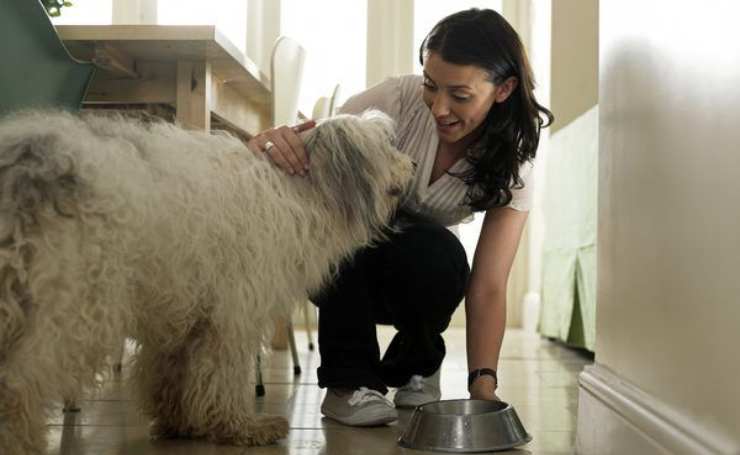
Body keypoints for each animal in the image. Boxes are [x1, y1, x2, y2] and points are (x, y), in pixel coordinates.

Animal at [0, 108, 414, 454]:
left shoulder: (183, 308)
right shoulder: (234, 309)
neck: (298, 190)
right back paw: (19, 440)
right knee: (18, 381)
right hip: (74, 301)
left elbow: (171, 371)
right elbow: (224, 372)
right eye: (386, 146)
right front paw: (241, 427)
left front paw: (179, 423)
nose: (411, 163)